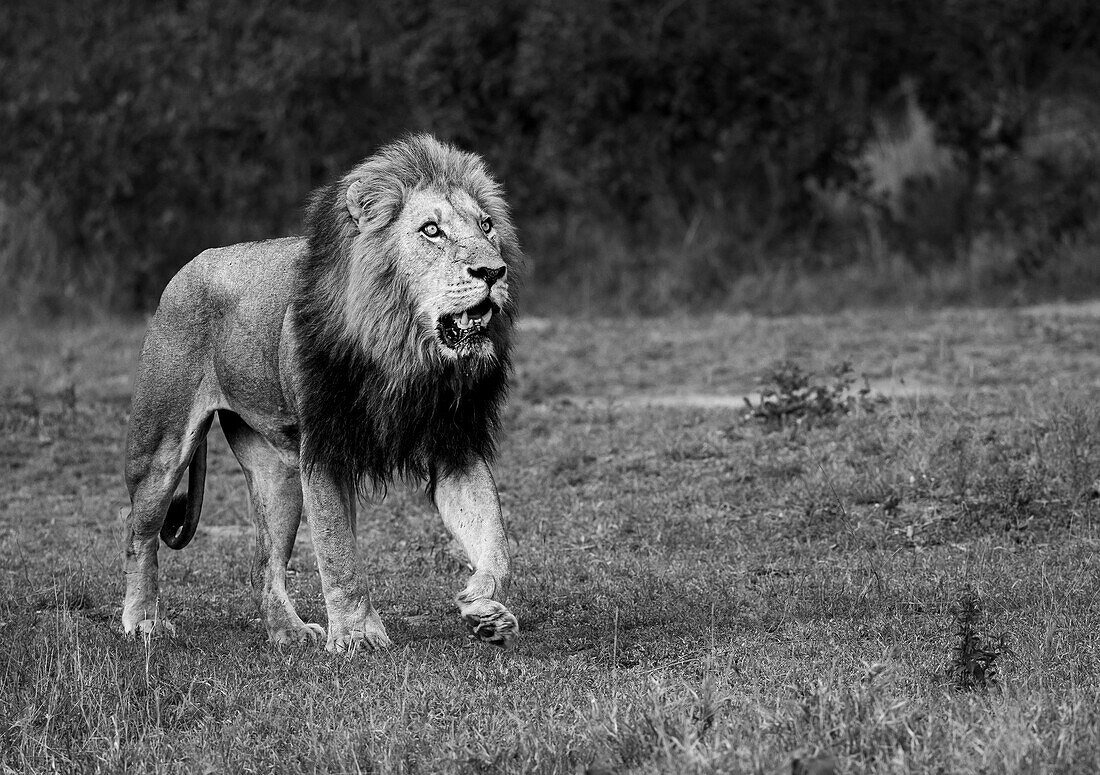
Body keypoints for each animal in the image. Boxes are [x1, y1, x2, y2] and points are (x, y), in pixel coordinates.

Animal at [122, 136, 525, 650]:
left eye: (487, 225)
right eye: (431, 230)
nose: (494, 271)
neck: (406, 355)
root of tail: (188, 267)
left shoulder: (455, 445)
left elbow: (495, 542)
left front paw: (484, 607)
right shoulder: (325, 448)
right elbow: (340, 556)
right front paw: (356, 636)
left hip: (277, 473)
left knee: (263, 566)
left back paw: (289, 633)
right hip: (163, 447)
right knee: (138, 530)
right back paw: (142, 620)